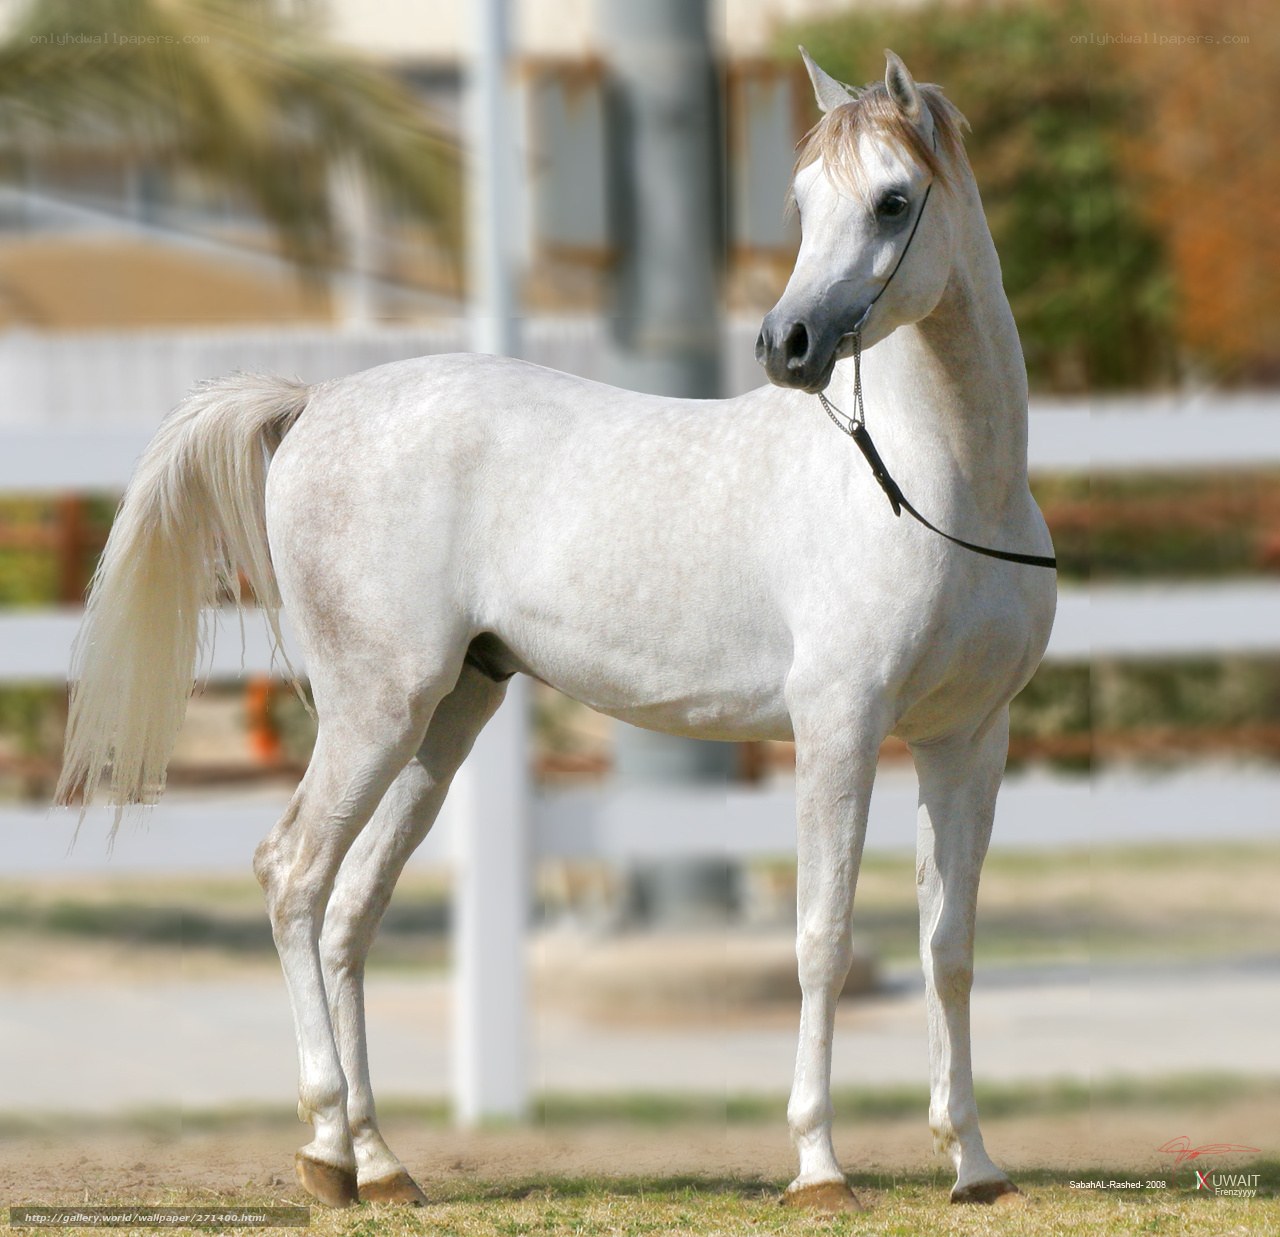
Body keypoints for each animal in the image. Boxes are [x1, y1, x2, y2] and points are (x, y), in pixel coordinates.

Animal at [56, 49, 1054, 1210]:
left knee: (350, 908)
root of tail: (312, 402)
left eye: (893, 201)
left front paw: (974, 1162)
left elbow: (950, 944)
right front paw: (817, 1166)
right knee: (293, 874)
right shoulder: (839, 728)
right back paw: (324, 1150)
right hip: (374, 711)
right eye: (803, 202)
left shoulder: (964, 739)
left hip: (443, 721)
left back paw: (379, 1162)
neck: (938, 485)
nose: (786, 344)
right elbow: (823, 936)